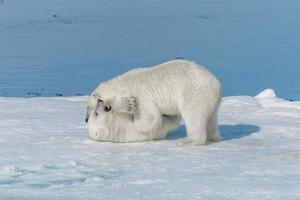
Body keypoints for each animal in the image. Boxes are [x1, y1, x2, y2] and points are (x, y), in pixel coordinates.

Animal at [85, 59, 221, 145]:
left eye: (90, 107)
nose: (86, 119)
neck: (121, 85)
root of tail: (216, 84)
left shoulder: (141, 96)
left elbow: (149, 118)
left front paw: (127, 105)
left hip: (193, 92)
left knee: (193, 114)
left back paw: (188, 141)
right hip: (210, 100)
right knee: (210, 118)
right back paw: (213, 136)